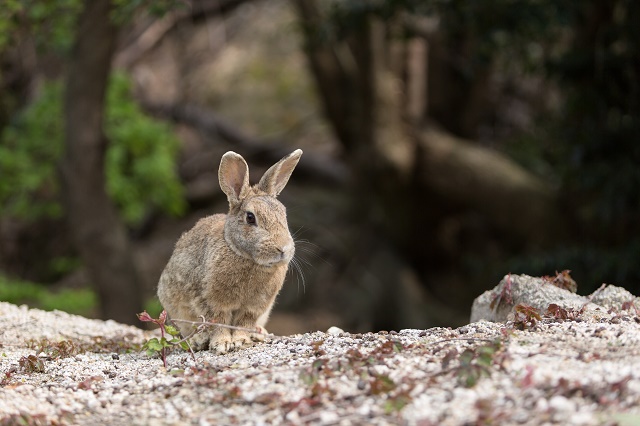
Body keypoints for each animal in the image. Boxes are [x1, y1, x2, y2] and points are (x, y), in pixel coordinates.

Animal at [158, 149, 302, 352]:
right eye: (250, 217)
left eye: (283, 214)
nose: (284, 249)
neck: (242, 255)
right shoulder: (212, 302)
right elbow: (219, 322)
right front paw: (222, 344)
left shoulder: (255, 306)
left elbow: (244, 322)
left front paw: (241, 340)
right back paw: (198, 340)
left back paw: (259, 333)